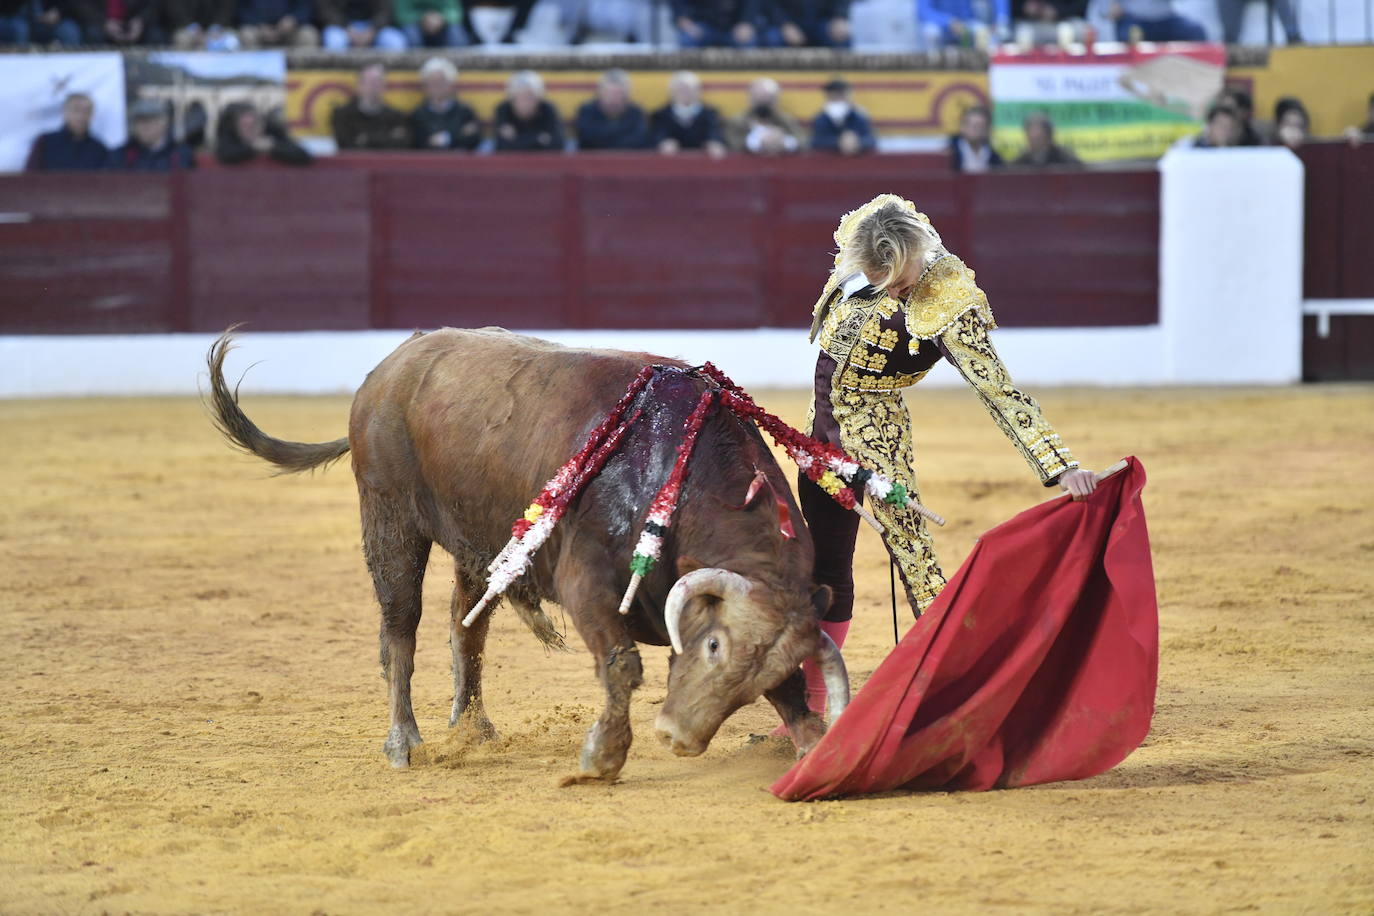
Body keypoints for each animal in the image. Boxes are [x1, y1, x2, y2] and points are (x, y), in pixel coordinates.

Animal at [203, 325, 846, 785]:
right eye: (712, 646)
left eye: (763, 670)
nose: (678, 737)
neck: (676, 474)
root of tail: (391, 366)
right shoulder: (586, 582)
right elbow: (621, 664)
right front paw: (601, 758)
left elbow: (789, 695)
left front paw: (815, 747)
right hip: (389, 519)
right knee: (400, 628)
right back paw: (404, 743)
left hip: (477, 544)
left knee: (466, 628)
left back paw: (473, 730)